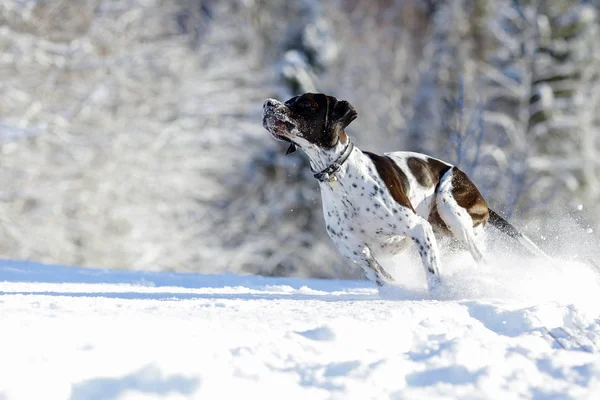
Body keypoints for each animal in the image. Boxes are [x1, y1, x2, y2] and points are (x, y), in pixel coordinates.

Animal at [262, 92, 548, 290]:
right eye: (288, 99)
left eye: (306, 104)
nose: (267, 104)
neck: (338, 176)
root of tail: (483, 201)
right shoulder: (360, 254)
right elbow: (381, 277)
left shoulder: (419, 229)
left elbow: (433, 276)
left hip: (451, 205)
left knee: (480, 259)